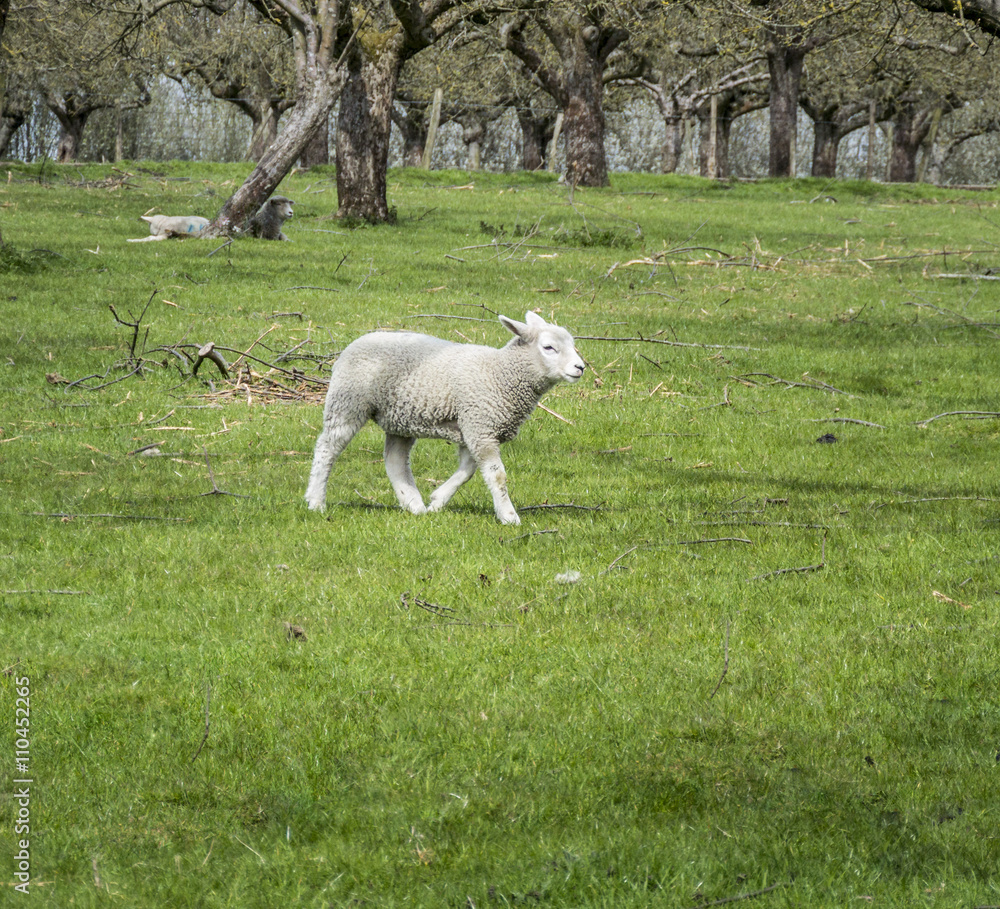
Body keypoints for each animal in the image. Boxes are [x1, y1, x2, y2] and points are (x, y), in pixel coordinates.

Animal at [305, 311, 586, 525]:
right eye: (548, 347)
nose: (580, 367)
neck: (500, 372)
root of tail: (357, 341)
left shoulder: (473, 427)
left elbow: (468, 470)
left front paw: (437, 501)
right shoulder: (480, 425)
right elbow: (497, 476)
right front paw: (509, 516)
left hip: (400, 416)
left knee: (395, 459)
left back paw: (413, 504)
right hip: (348, 401)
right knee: (327, 449)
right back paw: (315, 501)